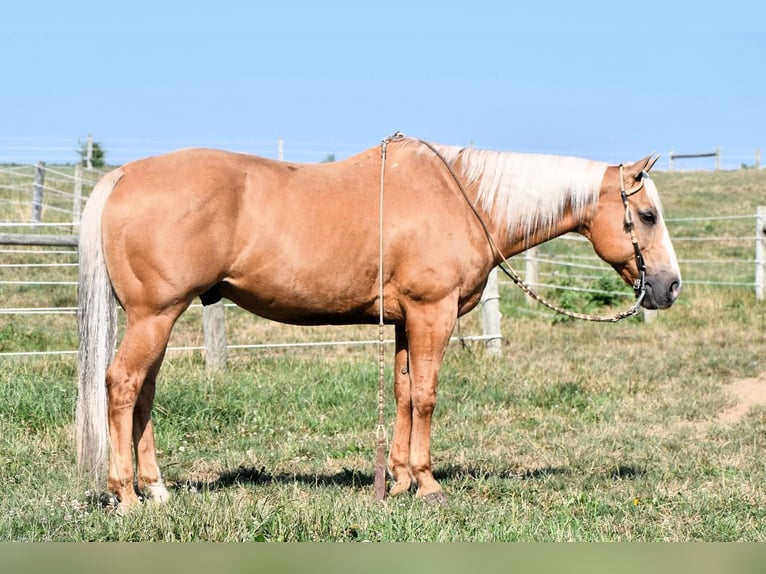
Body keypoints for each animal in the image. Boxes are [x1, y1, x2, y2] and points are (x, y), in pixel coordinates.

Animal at [75, 134, 680, 508]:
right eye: (647, 215)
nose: (669, 286)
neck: (463, 198)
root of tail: (124, 175)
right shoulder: (432, 314)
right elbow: (427, 396)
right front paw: (428, 484)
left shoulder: (407, 321)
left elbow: (403, 392)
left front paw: (399, 477)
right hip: (155, 316)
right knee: (123, 385)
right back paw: (126, 494)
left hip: (156, 320)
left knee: (144, 392)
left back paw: (155, 488)